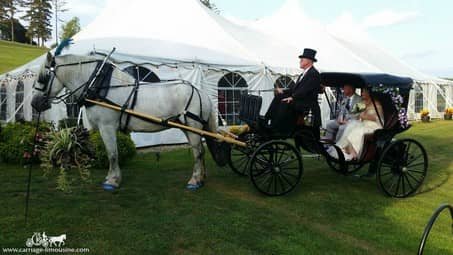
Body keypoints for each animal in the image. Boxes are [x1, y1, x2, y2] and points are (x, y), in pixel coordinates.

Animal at [31, 52, 219, 191]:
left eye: (43, 77)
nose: (34, 103)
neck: (99, 86)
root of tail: (201, 92)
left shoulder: (107, 127)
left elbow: (112, 154)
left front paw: (112, 181)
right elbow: (111, 153)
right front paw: (111, 177)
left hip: (193, 127)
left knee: (198, 152)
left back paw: (194, 181)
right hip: (188, 128)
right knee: (199, 151)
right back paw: (201, 177)